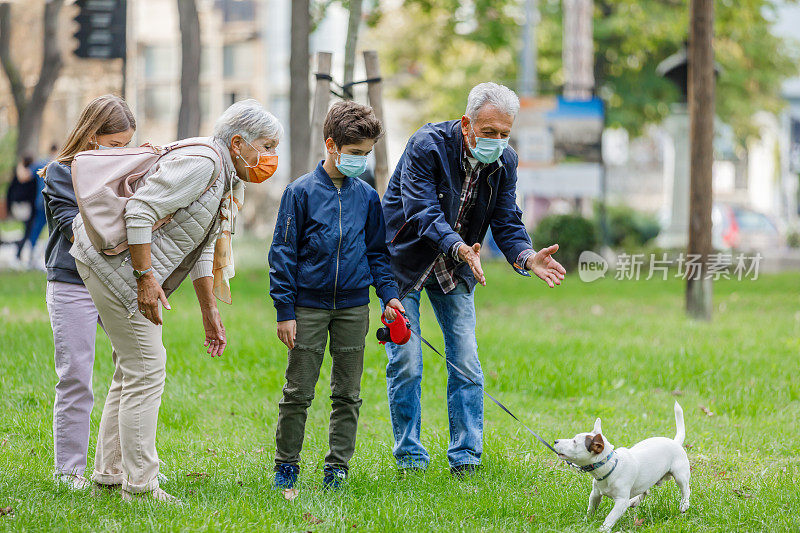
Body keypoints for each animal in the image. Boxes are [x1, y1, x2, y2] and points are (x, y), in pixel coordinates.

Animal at [552, 402, 692, 528]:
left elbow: (610, 517)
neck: (610, 466)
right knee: (645, 490)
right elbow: (591, 508)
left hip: (680, 474)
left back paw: (684, 504)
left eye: (574, 442)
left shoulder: (620, 502)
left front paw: (603, 529)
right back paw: (634, 501)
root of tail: (675, 442)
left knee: (685, 489)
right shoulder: (595, 494)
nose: (555, 441)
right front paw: (587, 521)